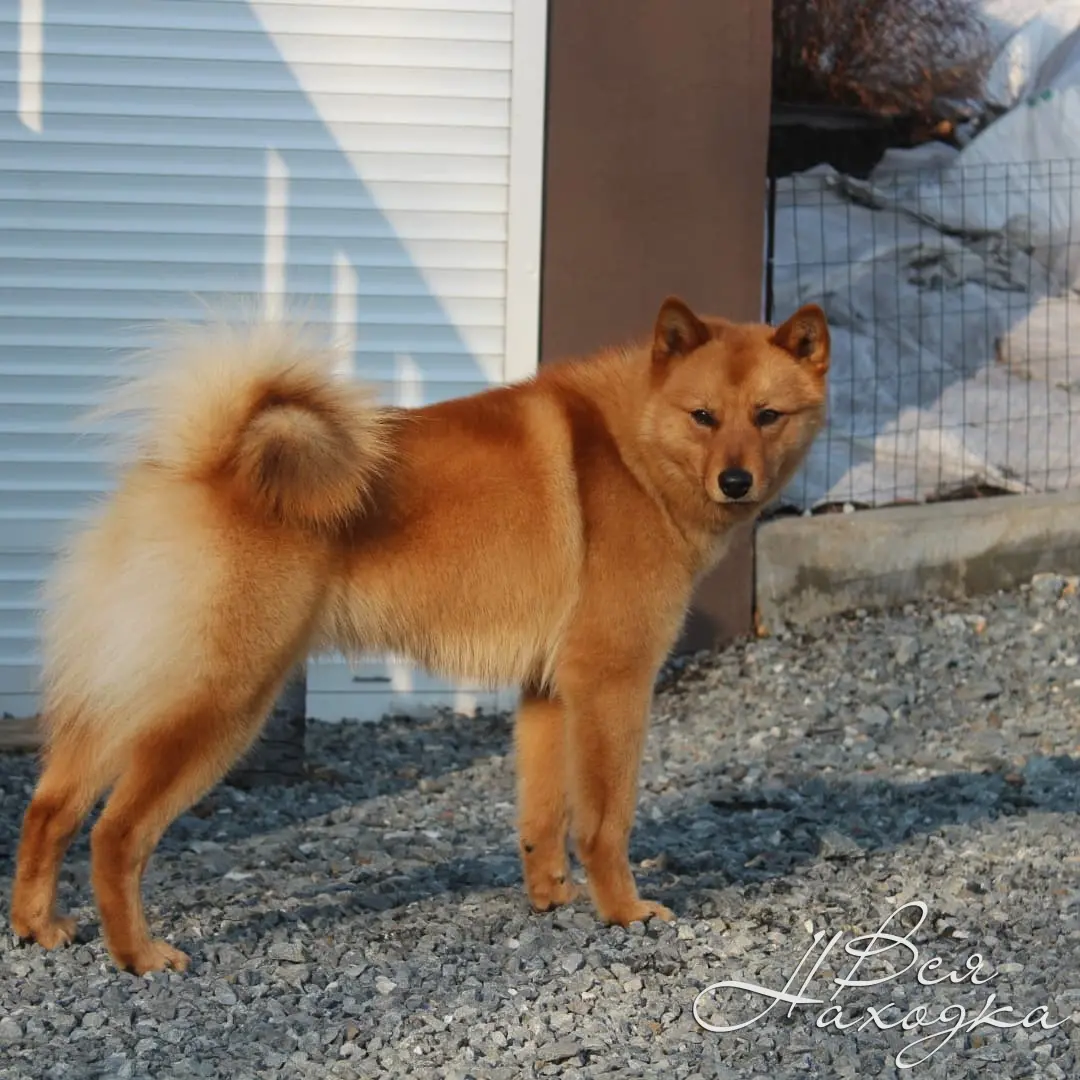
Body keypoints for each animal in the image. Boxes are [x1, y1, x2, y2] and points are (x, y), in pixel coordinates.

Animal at [10, 295, 825, 972]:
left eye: (767, 415)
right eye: (703, 416)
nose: (736, 482)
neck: (632, 449)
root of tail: (199, 460)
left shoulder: (547, 692)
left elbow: (542, 815)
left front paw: (551, 898)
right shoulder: (611, 682)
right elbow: (604, 818)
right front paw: (622, 911)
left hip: (119, 696)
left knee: (48, 809)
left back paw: (36, 927)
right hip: (218, 703)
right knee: (116, 834)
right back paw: (139, 956)